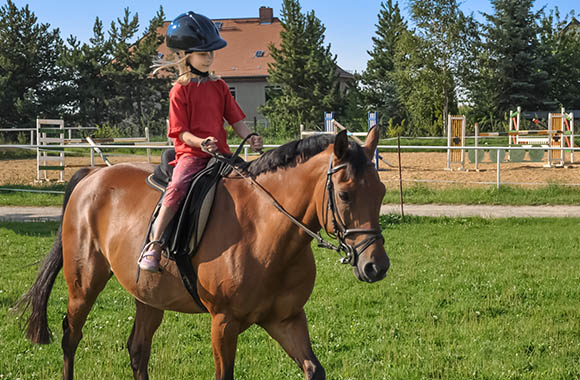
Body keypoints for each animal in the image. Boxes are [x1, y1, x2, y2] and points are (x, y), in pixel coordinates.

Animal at [19, 126, 390, 378]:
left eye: (382, 191)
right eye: (344, 194)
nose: (376, 266)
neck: (265, 229)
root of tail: (92, 175)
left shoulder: (286, 319)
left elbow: (315, 369)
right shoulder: (223, 323)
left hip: (148, 296)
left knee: (138, 350)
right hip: (84, 285)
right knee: (71, 337)